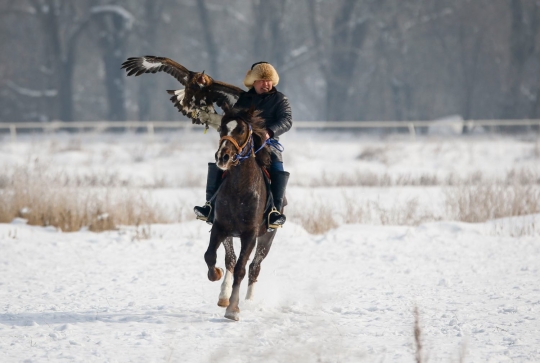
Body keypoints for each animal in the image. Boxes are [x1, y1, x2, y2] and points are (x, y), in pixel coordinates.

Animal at [204, 107, 282, 322]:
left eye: (241, 130)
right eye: (222, 128)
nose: (222, 157)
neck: (240, 188)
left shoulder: (250, 235)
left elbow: (242, 268)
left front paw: (233, 309)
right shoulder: (220, 228)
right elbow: (211, 256)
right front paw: (216, 275)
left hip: (267, 238)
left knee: (254, 267)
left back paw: (248, 300)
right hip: (230, 235)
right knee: (230, 260)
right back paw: (223, 295)